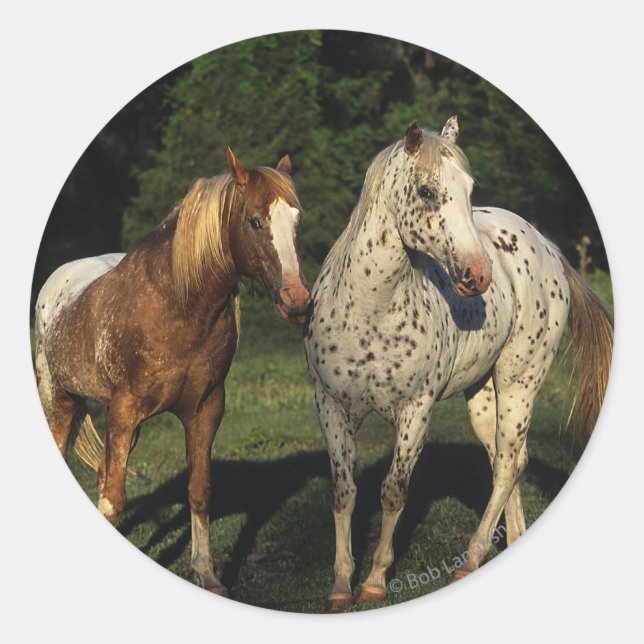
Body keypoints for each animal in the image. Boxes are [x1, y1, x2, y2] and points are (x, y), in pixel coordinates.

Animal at [34, 148, 310, 597]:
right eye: (254, 221)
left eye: (297, 220)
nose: (297, 299)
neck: (177, 307)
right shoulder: (125, 411)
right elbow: (115, 498)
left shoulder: (204, 410)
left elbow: (199, 491)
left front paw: (207, 575)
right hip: (59, 401)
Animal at [304, 117, 613, 610]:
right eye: (427, 191)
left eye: (469, 188)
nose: (478, 274)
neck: (370, 308)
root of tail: (546, 245)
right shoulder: (331, 406)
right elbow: (343, 493)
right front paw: (339, 586)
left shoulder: (416, 412)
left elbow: (394, 492)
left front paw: (374, 581)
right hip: (482, 397)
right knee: (509, 460)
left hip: (519, 383)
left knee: (506, 464)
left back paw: (469, 560)